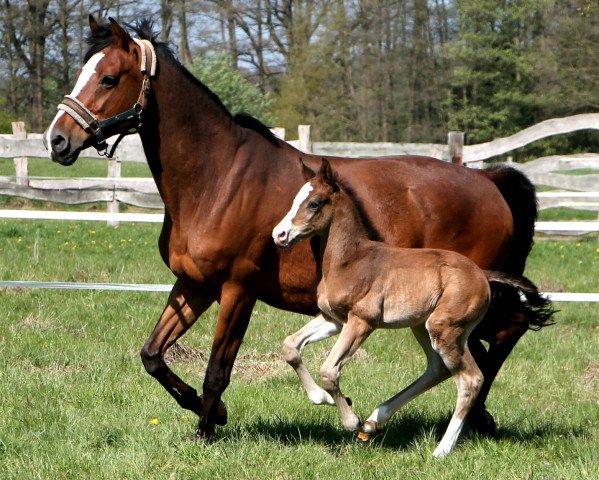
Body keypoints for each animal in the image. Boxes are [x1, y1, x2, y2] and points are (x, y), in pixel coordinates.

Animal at [272, 159, 548, 456]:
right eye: (295, 199)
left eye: (314, 203)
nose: (280, 234)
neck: (350, 261)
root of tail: (482, 275)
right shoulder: (333, 319)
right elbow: (291, 346)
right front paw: (323, 398)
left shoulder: (361, 322)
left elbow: (329, 371)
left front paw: (351, 420)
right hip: (421, 327)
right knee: (438, 369)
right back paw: (374, 421)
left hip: (444, 329)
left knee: (471, 379)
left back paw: (441, 449)